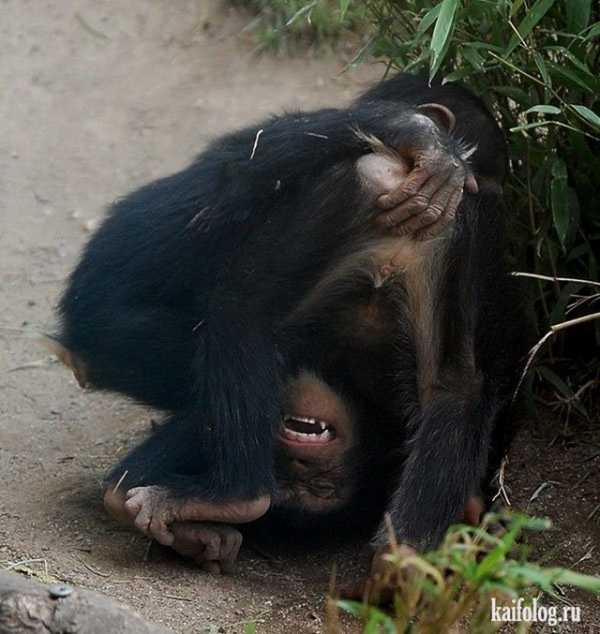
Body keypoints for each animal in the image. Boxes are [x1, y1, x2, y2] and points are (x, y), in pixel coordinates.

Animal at [55, 71, 524, 572]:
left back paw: (230, 498)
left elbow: (244, 165)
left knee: (240, 308)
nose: (303, 473)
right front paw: (417, 134)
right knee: (455, 384)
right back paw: (406, 556)